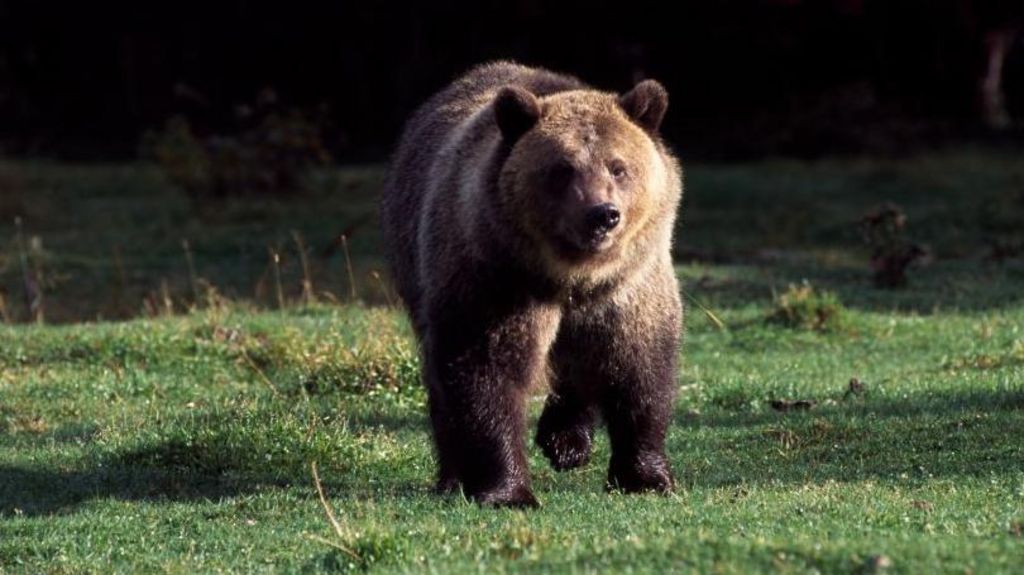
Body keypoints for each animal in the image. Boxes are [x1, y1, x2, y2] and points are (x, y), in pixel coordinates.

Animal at [380, 61, 683, 508]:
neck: (572, 275)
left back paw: (566, 441)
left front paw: (645, 476)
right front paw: (507, 490)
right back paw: (453, 476)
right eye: (562, 169)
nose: (602, 214)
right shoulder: (496, 279)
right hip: (417, 265)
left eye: (618, 166)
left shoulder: (628, 287)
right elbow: (487, 370)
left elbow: (638, 368)